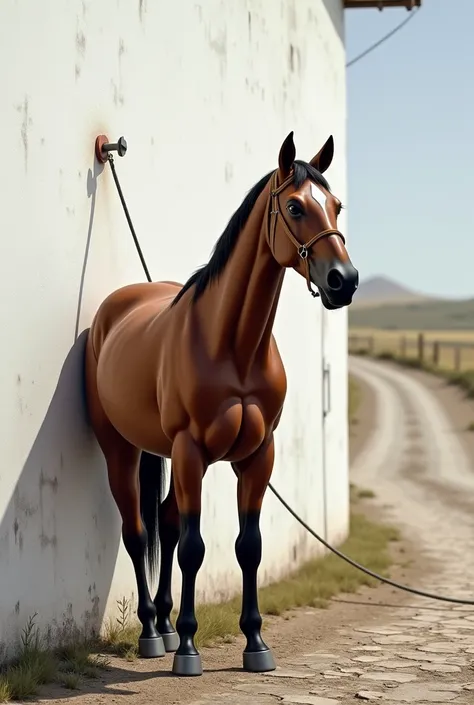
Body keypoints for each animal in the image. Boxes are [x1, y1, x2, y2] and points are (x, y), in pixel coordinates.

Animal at [85, 132, 360, 676]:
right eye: (295, 207)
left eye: (336, 205)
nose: (344, 280)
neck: (231, 345)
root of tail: (112, 312)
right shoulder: (192, 451)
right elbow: (194, 548)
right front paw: (190, 650)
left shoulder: (257, 456)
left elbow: (247, 547)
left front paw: (255, 643)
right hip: (122, 450)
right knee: (138, 530)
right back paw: (153, 632)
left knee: (165, 523)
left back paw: (166, 624)